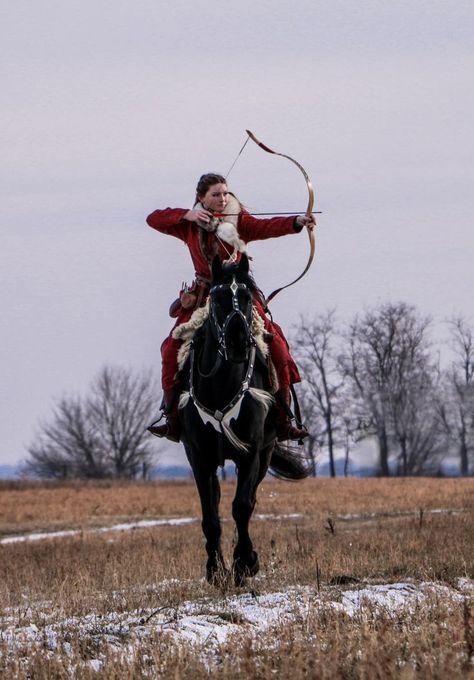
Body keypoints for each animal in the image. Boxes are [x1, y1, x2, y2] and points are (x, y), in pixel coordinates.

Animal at [178, 255, 308, 584]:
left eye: (248, 298)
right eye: (218, 297)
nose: (238, 341)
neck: (221, 383)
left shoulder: (252, 451)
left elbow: (242, 506)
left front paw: (245, 562)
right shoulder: (199, 456)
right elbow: (210, 515)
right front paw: (215, 570)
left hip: (265, 453)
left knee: (249, 500)